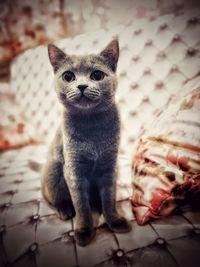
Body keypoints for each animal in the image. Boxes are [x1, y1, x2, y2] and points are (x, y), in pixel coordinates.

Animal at [41, 39, 131, 247]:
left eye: (97, 75)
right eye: (68, 76)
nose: (82, 85)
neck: (91, 124)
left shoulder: (110, 166)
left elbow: (109, 198)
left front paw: (114, 221)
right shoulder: (74, 169)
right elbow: (81, 205)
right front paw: (83, 231)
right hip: (53, 169)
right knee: (51, 197)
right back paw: (64, 210)